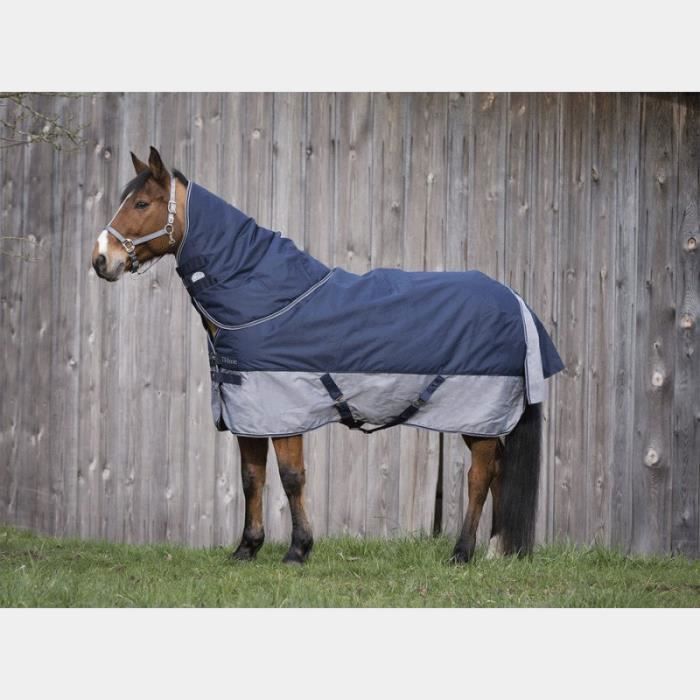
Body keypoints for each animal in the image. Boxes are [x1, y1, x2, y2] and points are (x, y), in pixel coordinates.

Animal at [91, 146, 563, 565]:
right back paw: (496, 551)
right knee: (499, 469)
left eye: (141, 203)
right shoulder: (248, 409)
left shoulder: (284, 409)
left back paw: (462, 553)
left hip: (476, 416)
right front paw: (246, 549)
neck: (265, 298)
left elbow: (291, 477)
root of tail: (516, 301)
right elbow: (251, 478)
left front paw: (298, 550)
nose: (101, 260)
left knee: (479, 477)